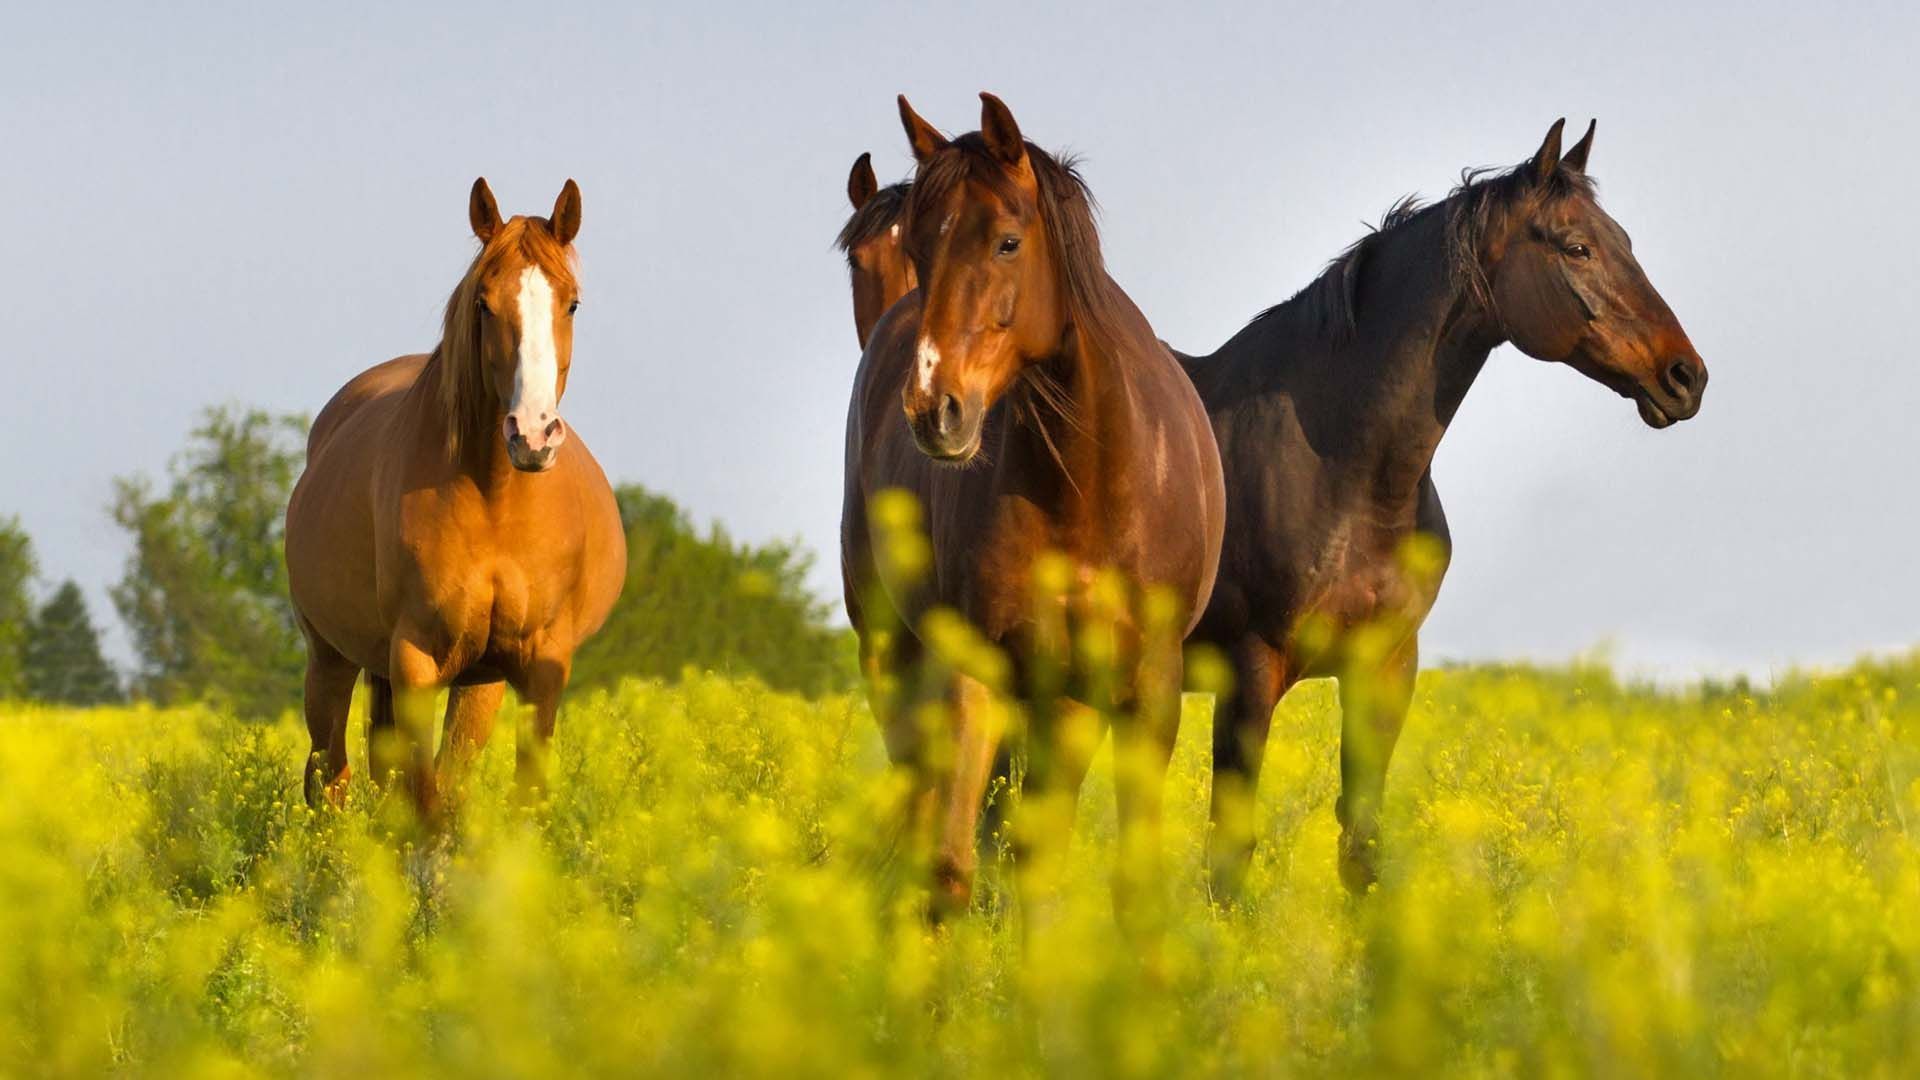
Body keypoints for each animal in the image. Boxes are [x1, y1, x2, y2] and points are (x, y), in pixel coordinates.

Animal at [285, 178, 626, 821]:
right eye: (484, 304)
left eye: (571, 303)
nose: (533, 435)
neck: (496, 499)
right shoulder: (415, 661)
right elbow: (423, 800)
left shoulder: (539, 668)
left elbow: (506, 794)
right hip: (331, 659)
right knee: (330, 776)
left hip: (476, 680)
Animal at [1182, 120, 1710, 900]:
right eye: (1576, 247)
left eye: (1624, 241)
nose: (1686, 376)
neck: (1339, 468)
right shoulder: (1250, 669)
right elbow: (1227, 854)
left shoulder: (1386, 669)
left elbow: (1362, 846)